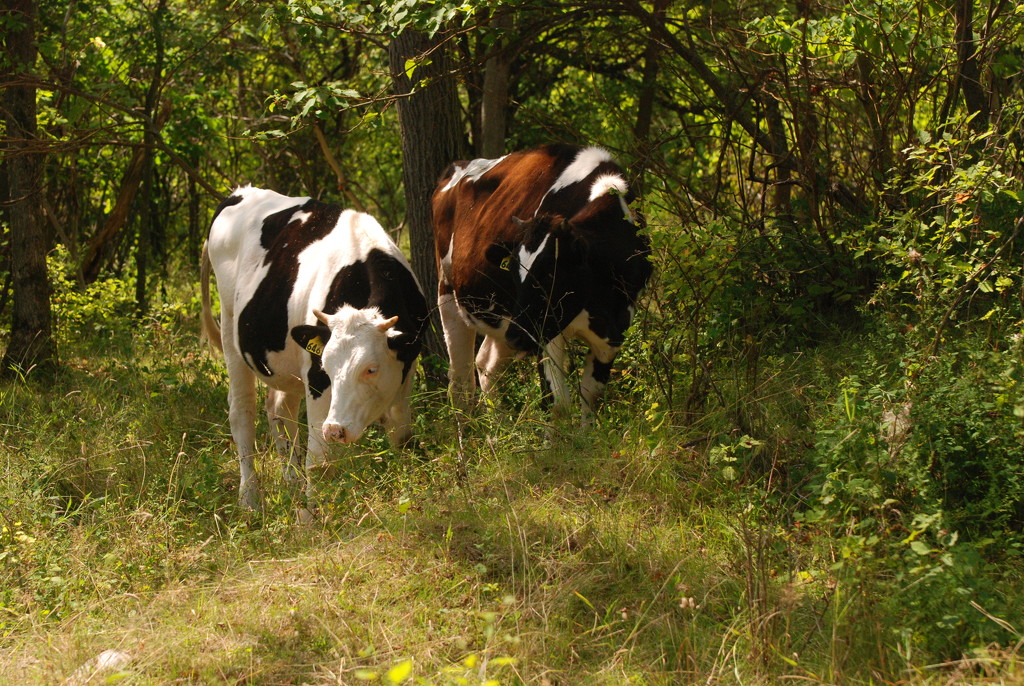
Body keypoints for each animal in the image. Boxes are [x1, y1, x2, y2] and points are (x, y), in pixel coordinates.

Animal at [199, 185, 428, 507]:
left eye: (371, 369)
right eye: (327, 368)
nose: (335, 429)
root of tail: (240, 192)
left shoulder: (404, 371)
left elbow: (402, 439)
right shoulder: (315, 378)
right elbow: (319, 462)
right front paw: (309, 517)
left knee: (279, 409)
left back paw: (292, 483)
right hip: (231, 331)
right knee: (242, 412)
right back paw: (250, 499)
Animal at [430, 143, 651, 419]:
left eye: (549, 274)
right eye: (514, 273)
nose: (518, 336)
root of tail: (455, 167)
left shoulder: (615, 329)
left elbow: (591, 397)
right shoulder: (545, 334)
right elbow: (557, 403)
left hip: (506, 321)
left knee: (486, 366)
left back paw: (499, 424)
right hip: (451, 296)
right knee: (460, 382)